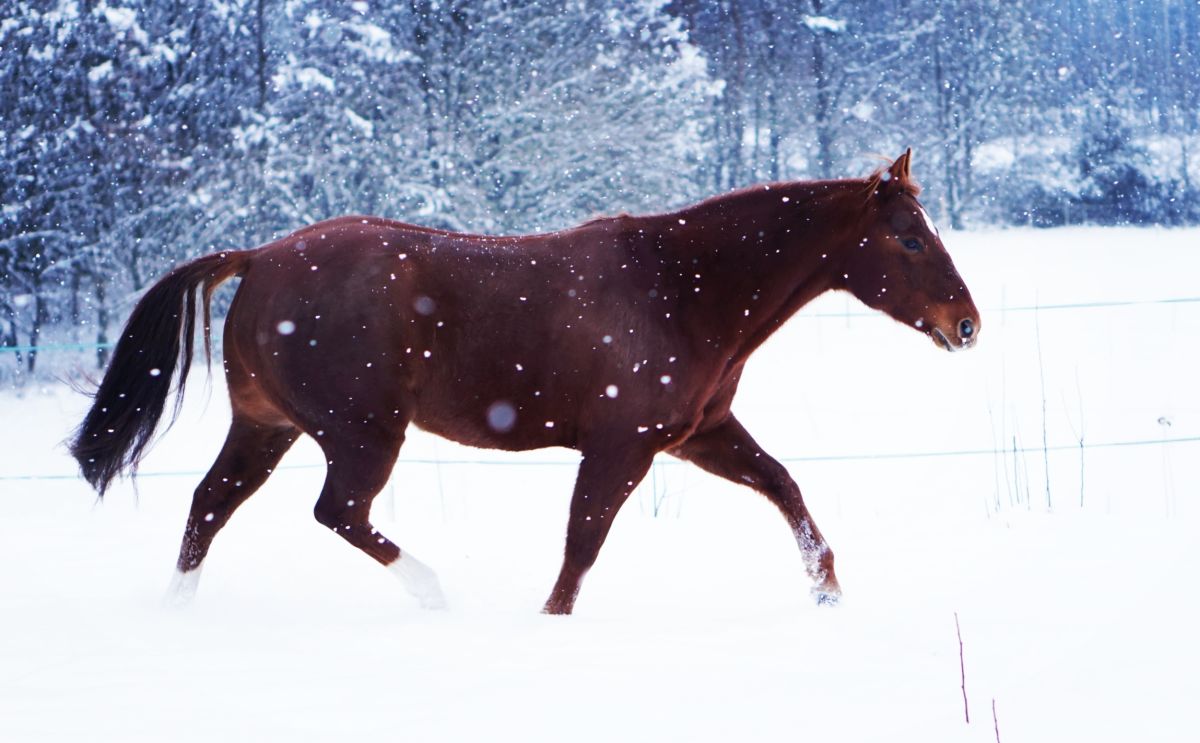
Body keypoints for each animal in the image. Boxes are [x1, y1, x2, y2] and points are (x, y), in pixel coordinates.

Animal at [70, 149, 979, 614]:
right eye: (907, 237)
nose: (967, 323)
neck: (680, 287)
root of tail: (258, 257)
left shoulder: (699, 435)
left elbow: (785, 485)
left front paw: (828, 594)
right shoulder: (621, 447)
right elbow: (581, 546)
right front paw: (548, 624)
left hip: (268, 424)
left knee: (210, 505)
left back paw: (179, 612)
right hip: (361, 433)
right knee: (337, 512)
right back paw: (434, 592)